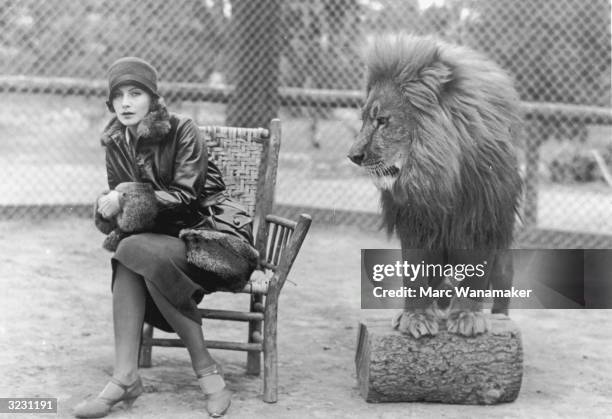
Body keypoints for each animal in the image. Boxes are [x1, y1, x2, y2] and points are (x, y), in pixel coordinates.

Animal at [350, 34, 520, 340]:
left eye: (382, 121)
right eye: (365, 120)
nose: (353, 156)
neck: (438, 178)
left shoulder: (480, 223)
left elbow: (475, 279)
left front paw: (467, 318)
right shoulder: (416, 224)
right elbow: (416, 277)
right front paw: (415, 319)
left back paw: (499, 318)